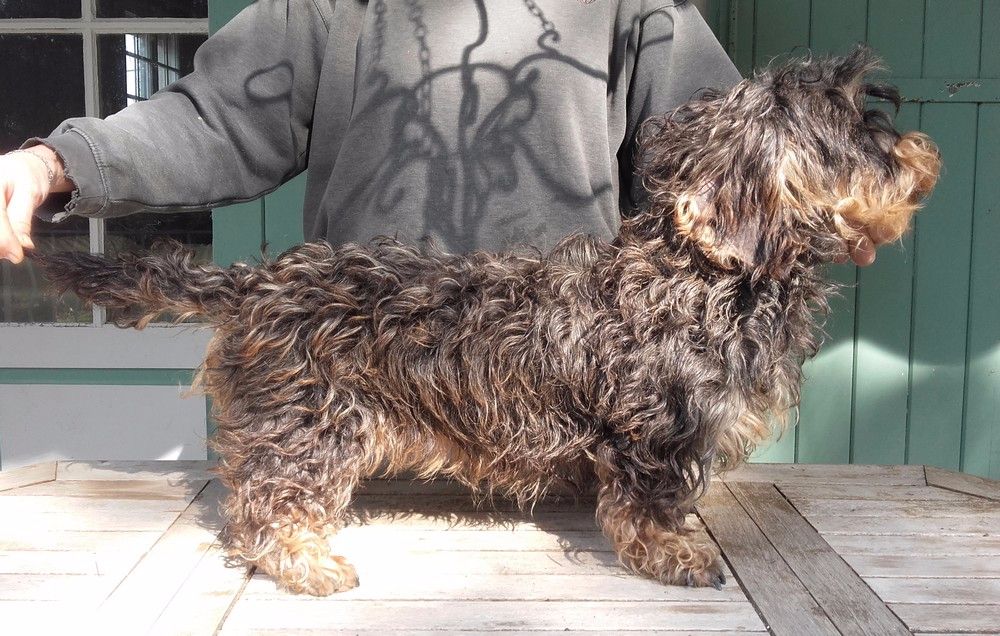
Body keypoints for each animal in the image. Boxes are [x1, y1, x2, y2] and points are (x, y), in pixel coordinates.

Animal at [30, 47, 939, 596]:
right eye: (849, 130)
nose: (920, 154)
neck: (703, 278)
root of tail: (258, 282)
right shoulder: (657, 431)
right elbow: (649, 503)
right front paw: (674, 553)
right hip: (309, 426)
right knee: (265, 507)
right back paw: (306, 561)